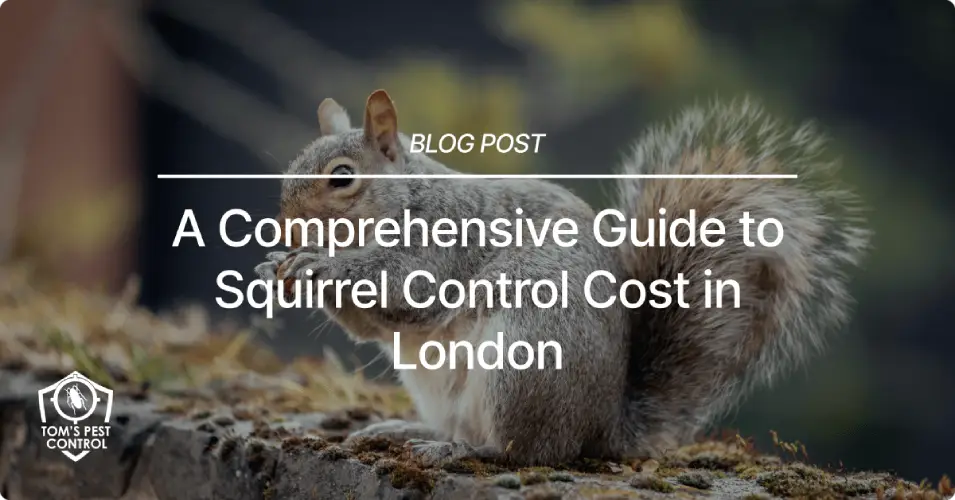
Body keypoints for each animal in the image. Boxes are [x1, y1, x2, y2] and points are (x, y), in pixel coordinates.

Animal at [254, 89, 871, 466]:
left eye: (342, 178)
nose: (284, 230)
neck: (407, 199)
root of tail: (603, 427)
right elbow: (369, 326)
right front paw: (275, 268)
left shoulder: (445, 242)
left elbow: (406, 287)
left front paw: (319, 265)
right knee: (468, 428)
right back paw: (411, 434)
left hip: (525, 361)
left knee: (526, 451)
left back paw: (464, 453)